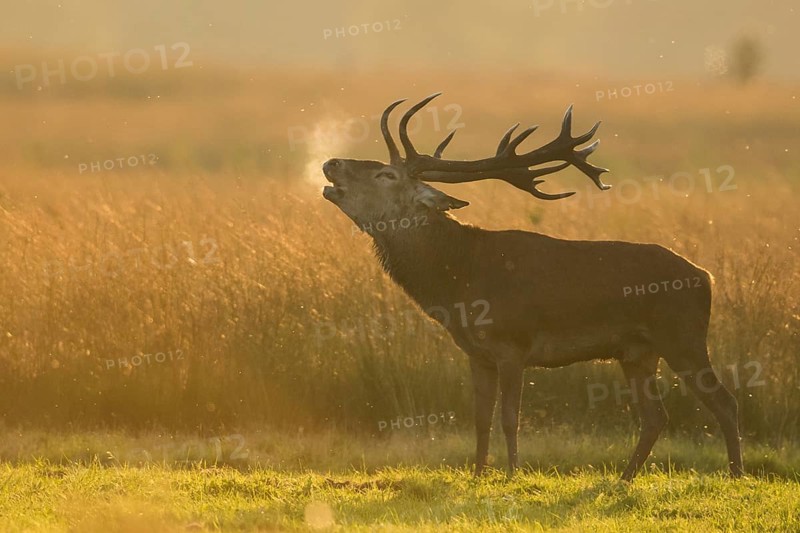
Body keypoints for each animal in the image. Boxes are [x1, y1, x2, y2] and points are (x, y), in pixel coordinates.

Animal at [321, 93, 743, 481]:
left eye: (386, 176)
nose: (331, 163)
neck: (457, 282)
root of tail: (705, 276)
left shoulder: (513, 344)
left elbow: (510, 416)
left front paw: (512, 473)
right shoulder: (476, 353)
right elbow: (481, 417)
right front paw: (477, 474)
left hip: (683, 336)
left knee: (724, 401)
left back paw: (736, 474)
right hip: (636, 352)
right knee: (655, 416)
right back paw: (623, 478)